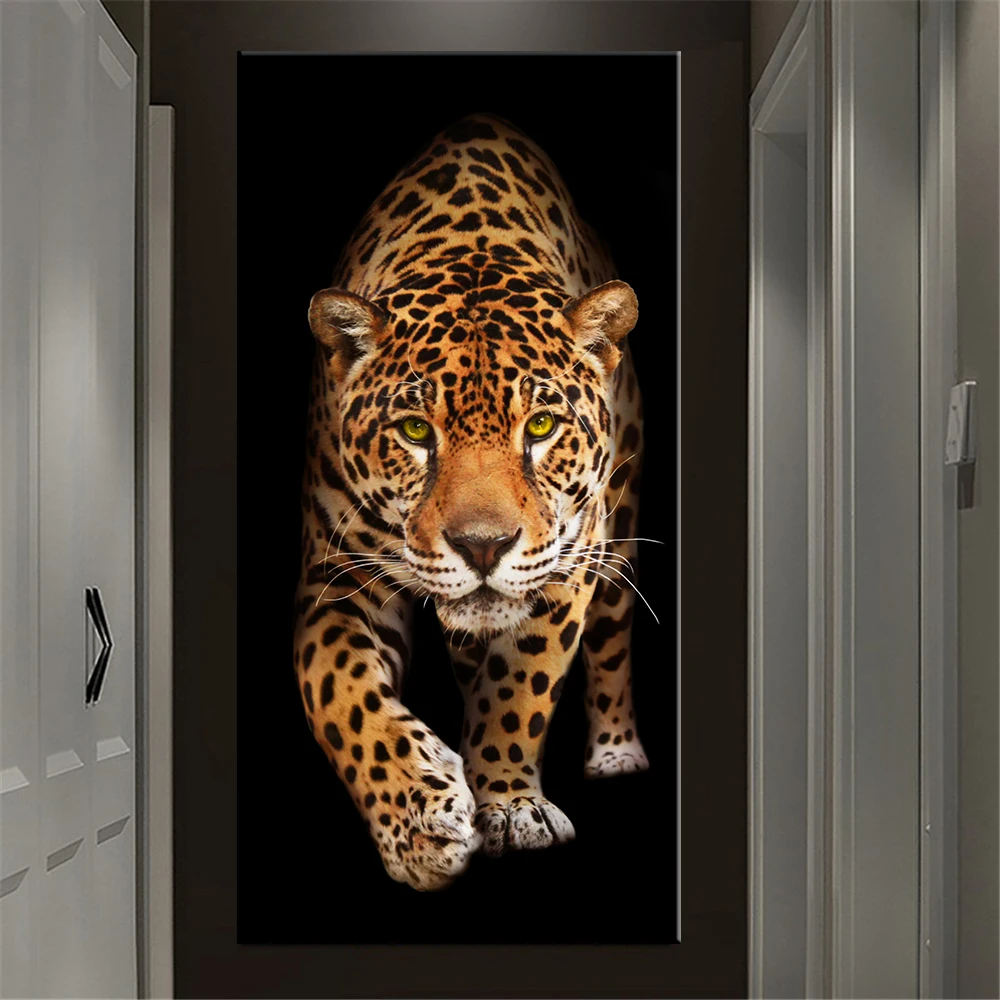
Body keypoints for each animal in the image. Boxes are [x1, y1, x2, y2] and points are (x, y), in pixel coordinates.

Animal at [293, 113, 648, 891]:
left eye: (540, 427)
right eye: (415, 431)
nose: (482, 546)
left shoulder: (567, 560)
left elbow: (520, 686)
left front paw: (510, 805)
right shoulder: (337, 576)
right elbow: (338, 691)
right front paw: (419, 823)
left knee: (611, 638)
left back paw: (616, 751)